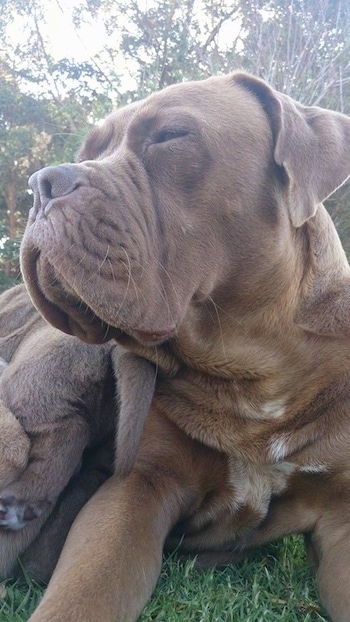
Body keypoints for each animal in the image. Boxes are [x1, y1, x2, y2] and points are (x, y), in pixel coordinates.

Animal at [20, 74, 350, 622]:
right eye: (88, 152)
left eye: (171, 136)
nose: (43, 182)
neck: (254, 372)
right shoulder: (137, 488)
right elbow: (81, 595)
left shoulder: (341, 516)